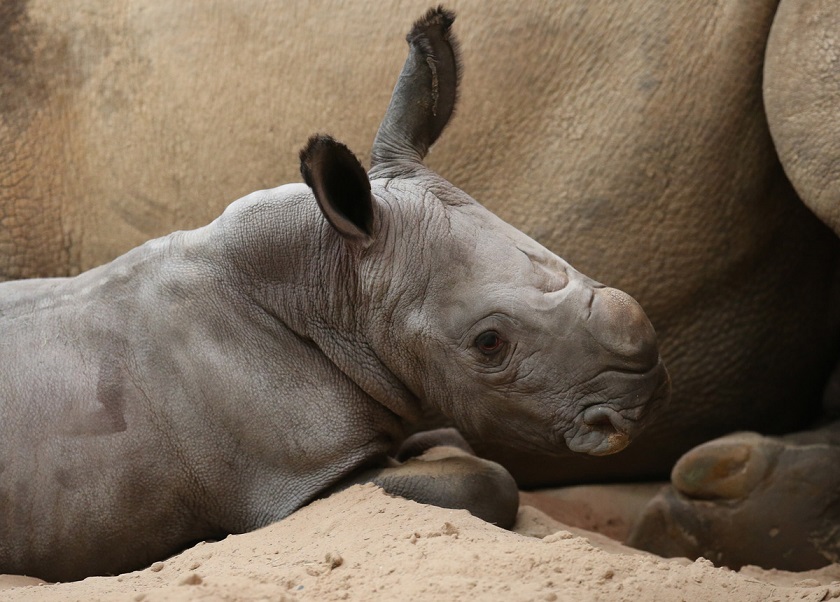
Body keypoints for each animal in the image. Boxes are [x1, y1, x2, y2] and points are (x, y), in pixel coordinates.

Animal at [0, 7, 668, 580]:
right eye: (489, 343)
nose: (648, 395)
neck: (330, 282)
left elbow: (450, 443)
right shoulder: (298, 479)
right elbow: (486, 479)